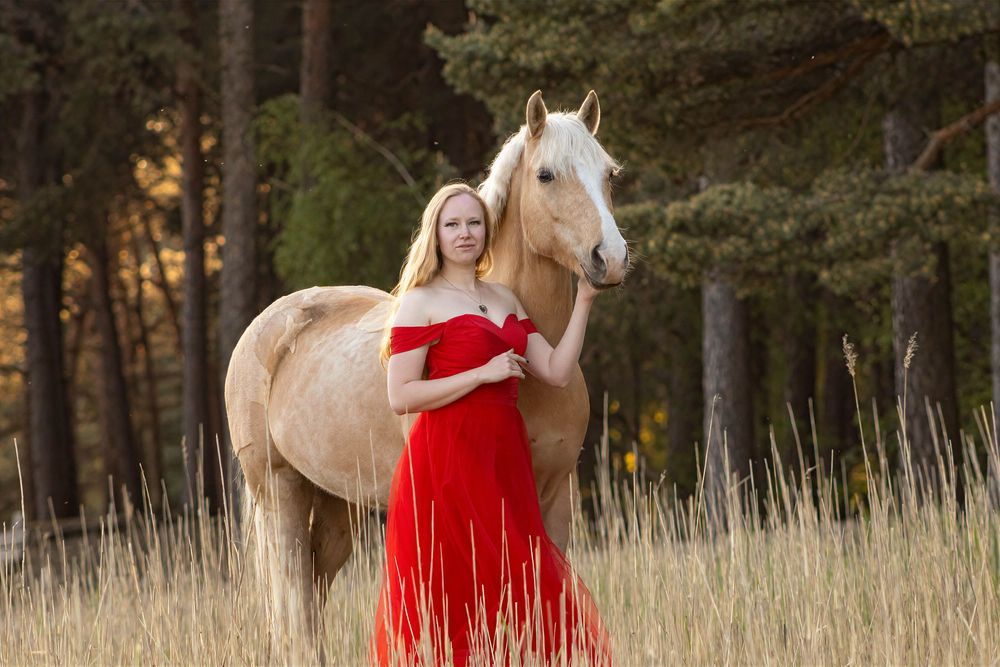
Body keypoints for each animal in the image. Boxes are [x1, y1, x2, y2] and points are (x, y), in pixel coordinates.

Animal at [224, 90, 630, 641]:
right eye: (546, 175)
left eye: (609, 172)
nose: (609, 258)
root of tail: (266, 326)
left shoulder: (554, 496)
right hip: (278, 489)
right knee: (293, 606)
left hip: (334, 504)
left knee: (310, 596)